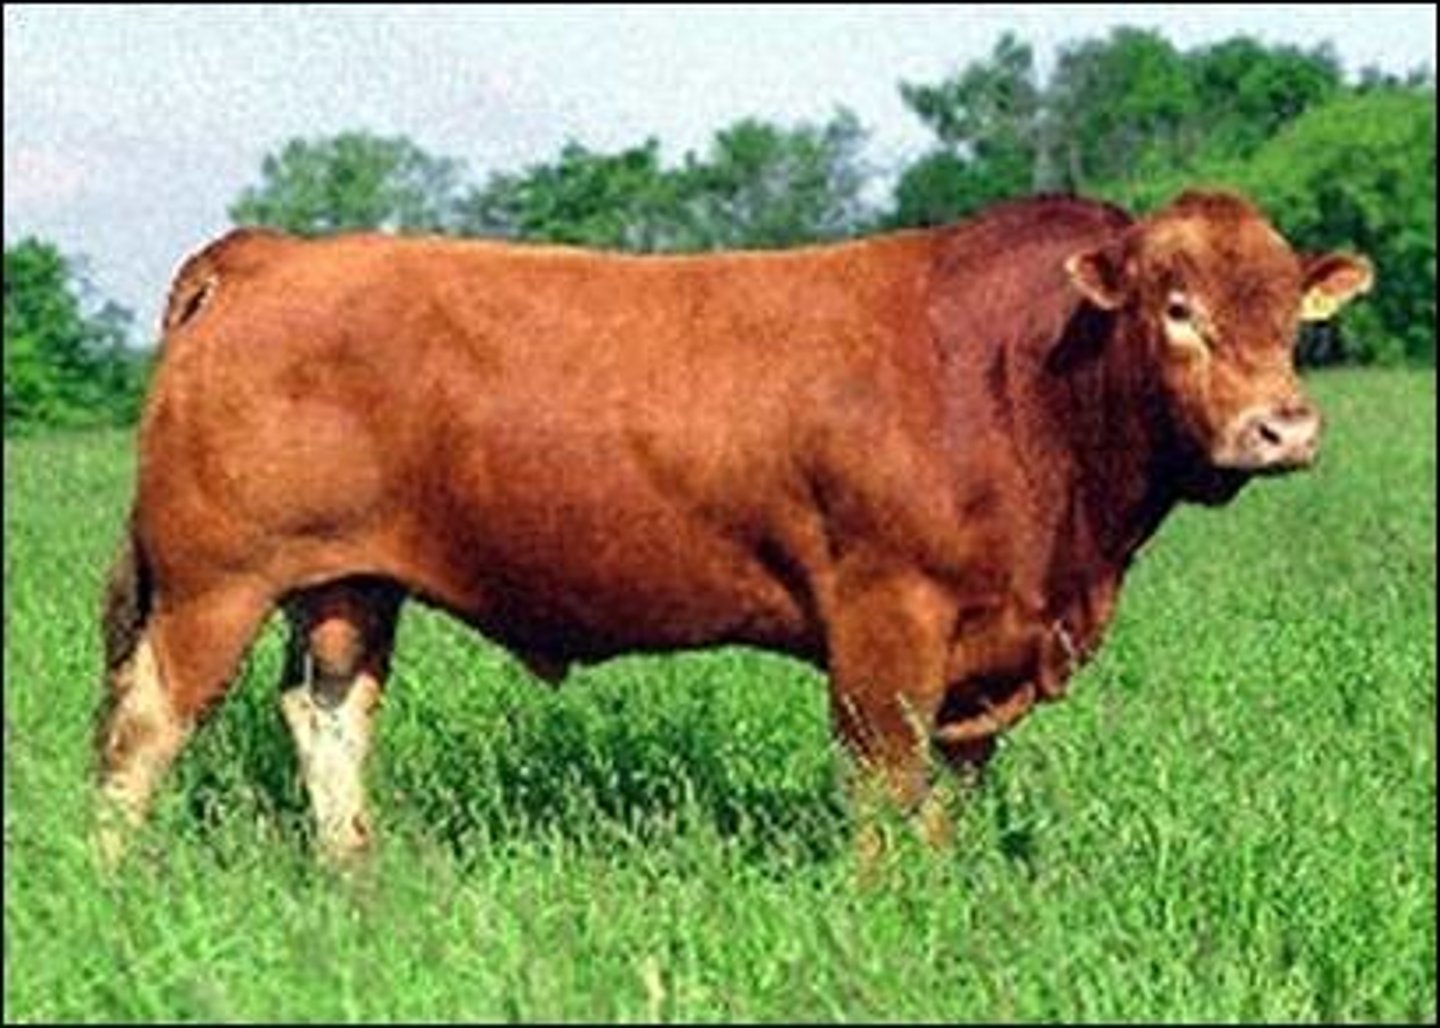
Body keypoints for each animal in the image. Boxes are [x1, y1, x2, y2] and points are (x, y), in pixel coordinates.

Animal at [94, 190, 1372, 863]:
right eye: (1177, 307)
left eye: (1290, 314)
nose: (1283, 426)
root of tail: (277, 251)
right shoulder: (887, 619)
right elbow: (885, 783)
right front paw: (881, 915)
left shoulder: (994, 649)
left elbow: (949, 793)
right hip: (215, 578)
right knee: (143, 728)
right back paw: (117, 879)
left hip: (347, 581)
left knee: (326, 714)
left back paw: (355, 874)